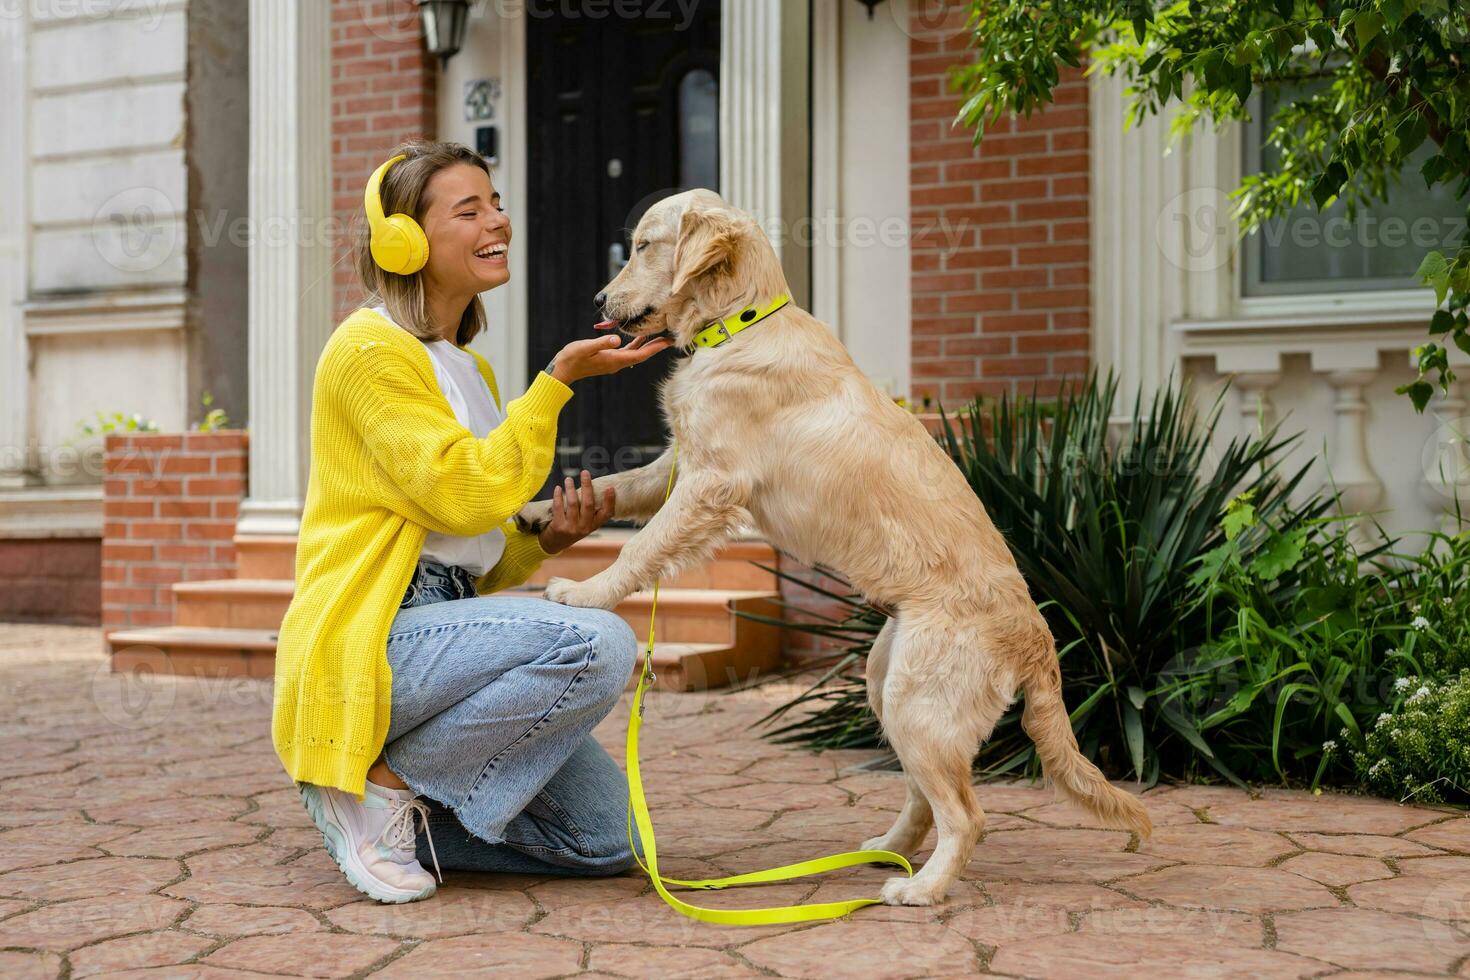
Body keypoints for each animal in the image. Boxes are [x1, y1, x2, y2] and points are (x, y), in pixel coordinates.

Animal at [523, 188, 1152, 910]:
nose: (599, 300)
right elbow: (616, 486)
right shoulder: (679, 462)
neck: (736, 324)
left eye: (645, 246)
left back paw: (922, 888)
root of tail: (1037, 636)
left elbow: (639, 549)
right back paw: (886, 851)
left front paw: (583, 590)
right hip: (887, 683)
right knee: (927, 798)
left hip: (915, 700)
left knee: (966, 814)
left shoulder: (712, 483)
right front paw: (541, 513)